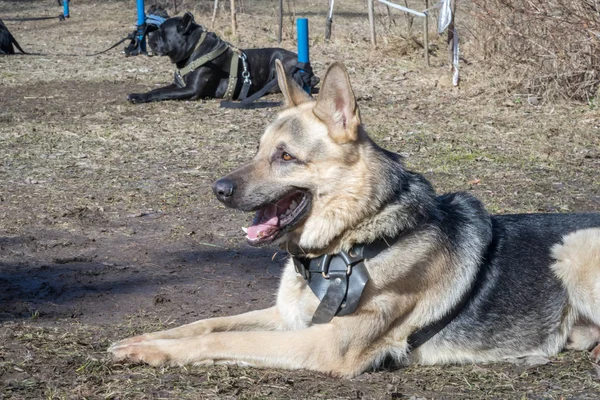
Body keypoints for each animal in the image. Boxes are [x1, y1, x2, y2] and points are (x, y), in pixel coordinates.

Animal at [110, 60, 600, 378]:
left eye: (285, 157)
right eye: (257, 150)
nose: (218, 190)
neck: (347, 243)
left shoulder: (324, 343)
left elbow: (223, 340)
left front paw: (154, 352)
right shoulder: (288, 316)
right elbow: (207, 324)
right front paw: (144, 340)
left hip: (572, 248)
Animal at [127, 11, 318, 104]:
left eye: (162, 31)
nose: (149, 35)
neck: (194, 49)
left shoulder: (191, 90)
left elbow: (162, 92)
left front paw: (138, 97)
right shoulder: (179, 85)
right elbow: (158, 90)